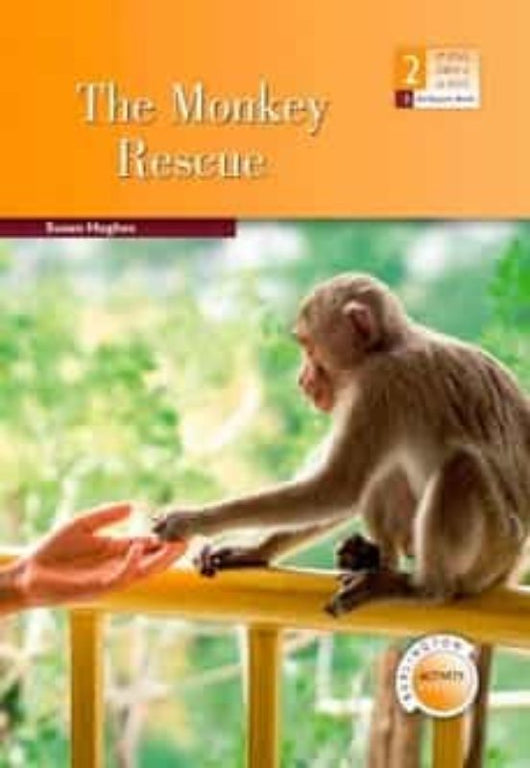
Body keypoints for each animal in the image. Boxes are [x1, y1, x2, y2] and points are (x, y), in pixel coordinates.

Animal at [153, 272, 530, 618]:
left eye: (308, 348)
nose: (302, 380)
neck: (386, 346)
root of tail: (513, 565)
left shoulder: (379, 384)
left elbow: (337, 484)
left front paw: (190, 520)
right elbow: (339, 484)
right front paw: (254, 549)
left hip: (494, 550)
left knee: (462, 466)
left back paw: (425, 587)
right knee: (387, 473)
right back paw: (376, 561)